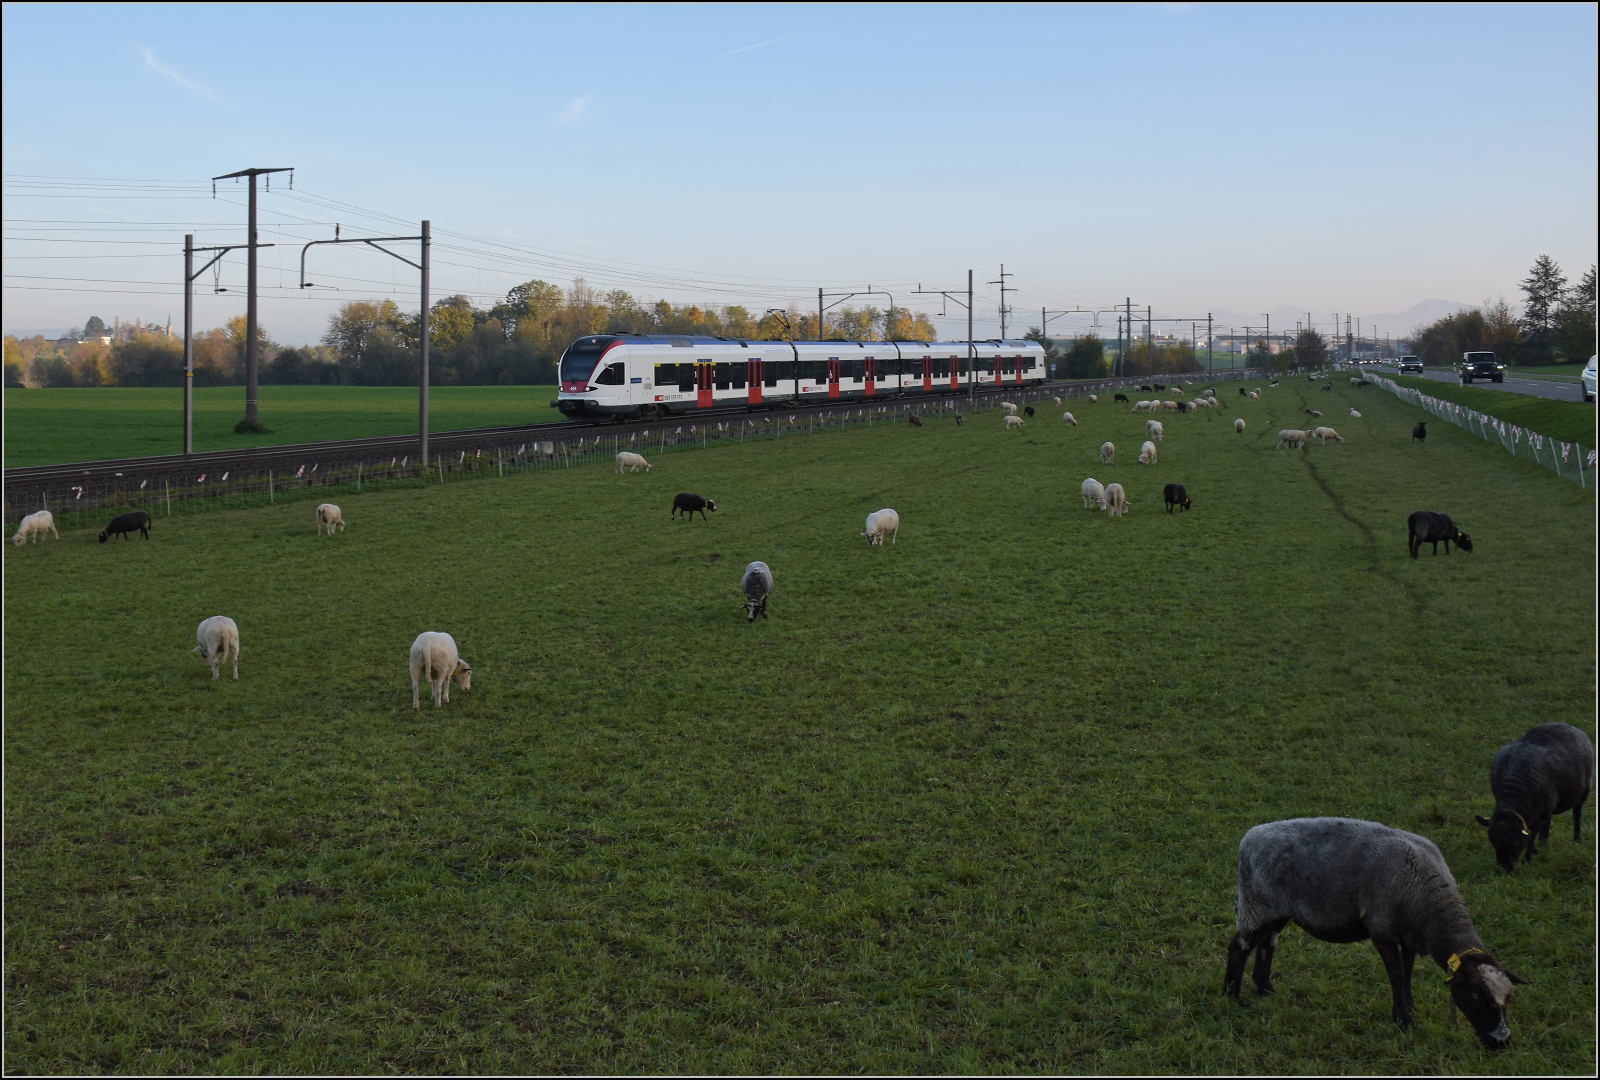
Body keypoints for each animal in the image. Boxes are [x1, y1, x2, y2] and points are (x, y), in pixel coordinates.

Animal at [1222, 819, 1523, 1049]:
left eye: (1509, 998)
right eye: (1475, 996)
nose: (1503, 1042)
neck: (1429, 901)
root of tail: (1249, 838)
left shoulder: (1409, 935)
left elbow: (1408, 970)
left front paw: (1409, 1006)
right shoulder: (1382, 931)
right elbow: (1397, 974)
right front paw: (1404, 1020)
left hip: (1277, 910)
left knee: (1267, 944)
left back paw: (1265, 989)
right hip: (1256, 904)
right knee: (1239, 947)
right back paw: (1232, 998)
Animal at [1472, 723, 1587, 876]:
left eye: (1513, 843)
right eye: (1492, 843)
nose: (1505, 870)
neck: (1514, 797)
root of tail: (1565, 725)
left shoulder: (1539, 813)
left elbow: (1531, 835)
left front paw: (1527, 860)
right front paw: (1534, 851)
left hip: (1583, 790)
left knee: (1576, 814)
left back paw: (1576, 840)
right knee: (1548, 823)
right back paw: (1543, 845)